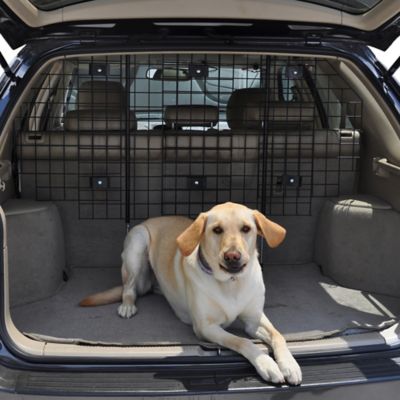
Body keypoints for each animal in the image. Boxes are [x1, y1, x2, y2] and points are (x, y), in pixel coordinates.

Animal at [80, 203, 300, 384]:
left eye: (246, 228)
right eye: (217, 230)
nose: (232, 256)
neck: (231, 283)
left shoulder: (254, 319)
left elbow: (278, 335)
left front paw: (289, 365)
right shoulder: (206, 327)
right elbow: (241, 341)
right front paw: (266, 363)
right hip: (137, 245)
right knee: (129, 287)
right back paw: (127, 305)